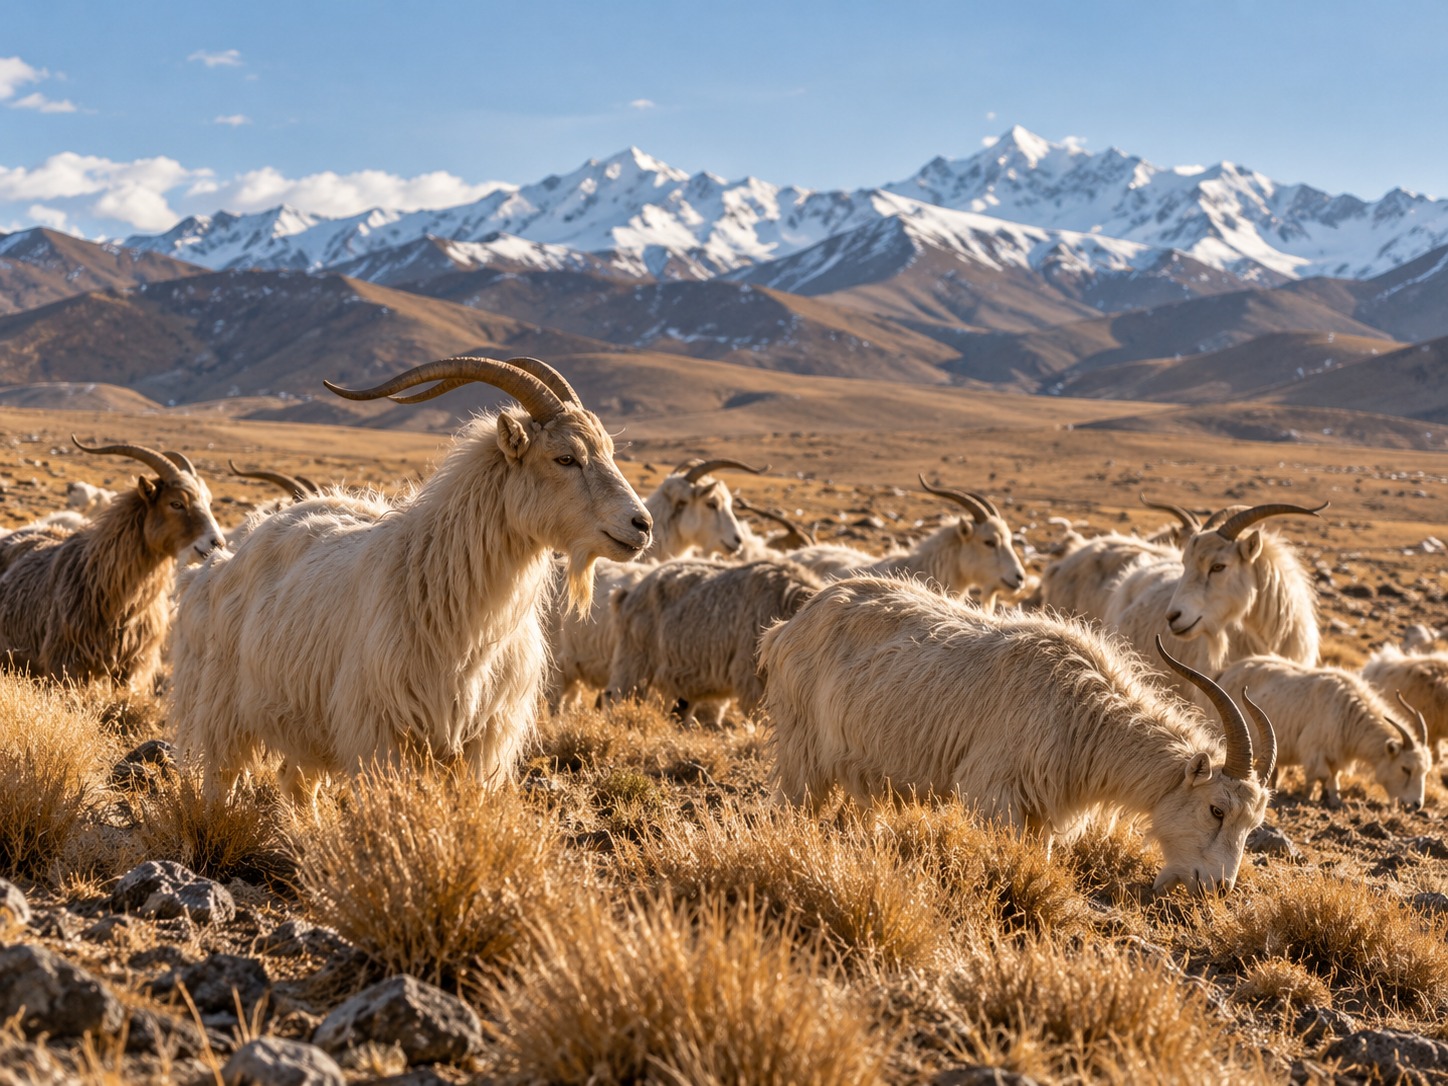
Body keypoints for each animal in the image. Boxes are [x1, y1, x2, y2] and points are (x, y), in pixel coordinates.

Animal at [168, 355, 652, 799]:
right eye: (565, 457)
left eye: (608, 451)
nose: (641, 525)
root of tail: (222, 561)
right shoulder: (380, 733)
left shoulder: (481, 742)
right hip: (223, 705)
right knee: (222, 778)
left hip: (304, 723)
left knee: (296, 782)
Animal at [761, 576, 1274, 895]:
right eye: (1216, 809)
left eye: (1253, 825)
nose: (1218, 888)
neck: (1080, 709)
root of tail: (791, 625)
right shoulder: (994, 794)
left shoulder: (1041, 811)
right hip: (802, 748)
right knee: (791, 806)